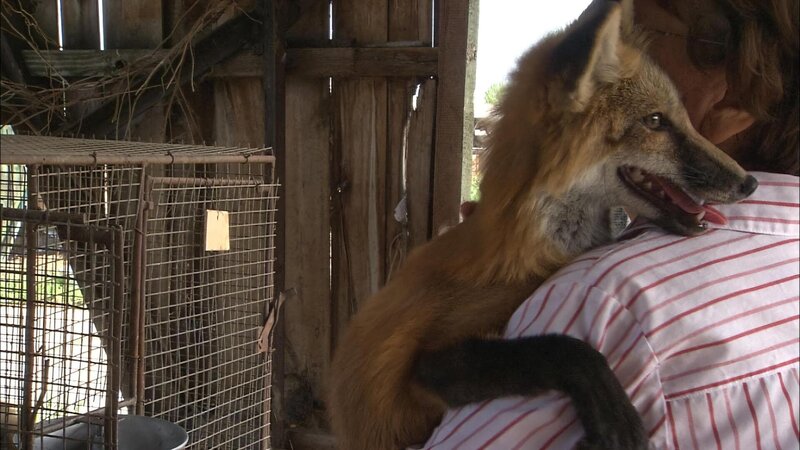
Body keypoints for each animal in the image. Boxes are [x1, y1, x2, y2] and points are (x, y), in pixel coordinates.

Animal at [328, 1, 758, 449]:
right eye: (655, 121)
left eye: (684, 119)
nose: (750, 183)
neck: (535, 251)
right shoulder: (420, 366)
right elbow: (563, 349)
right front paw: (614, 415)